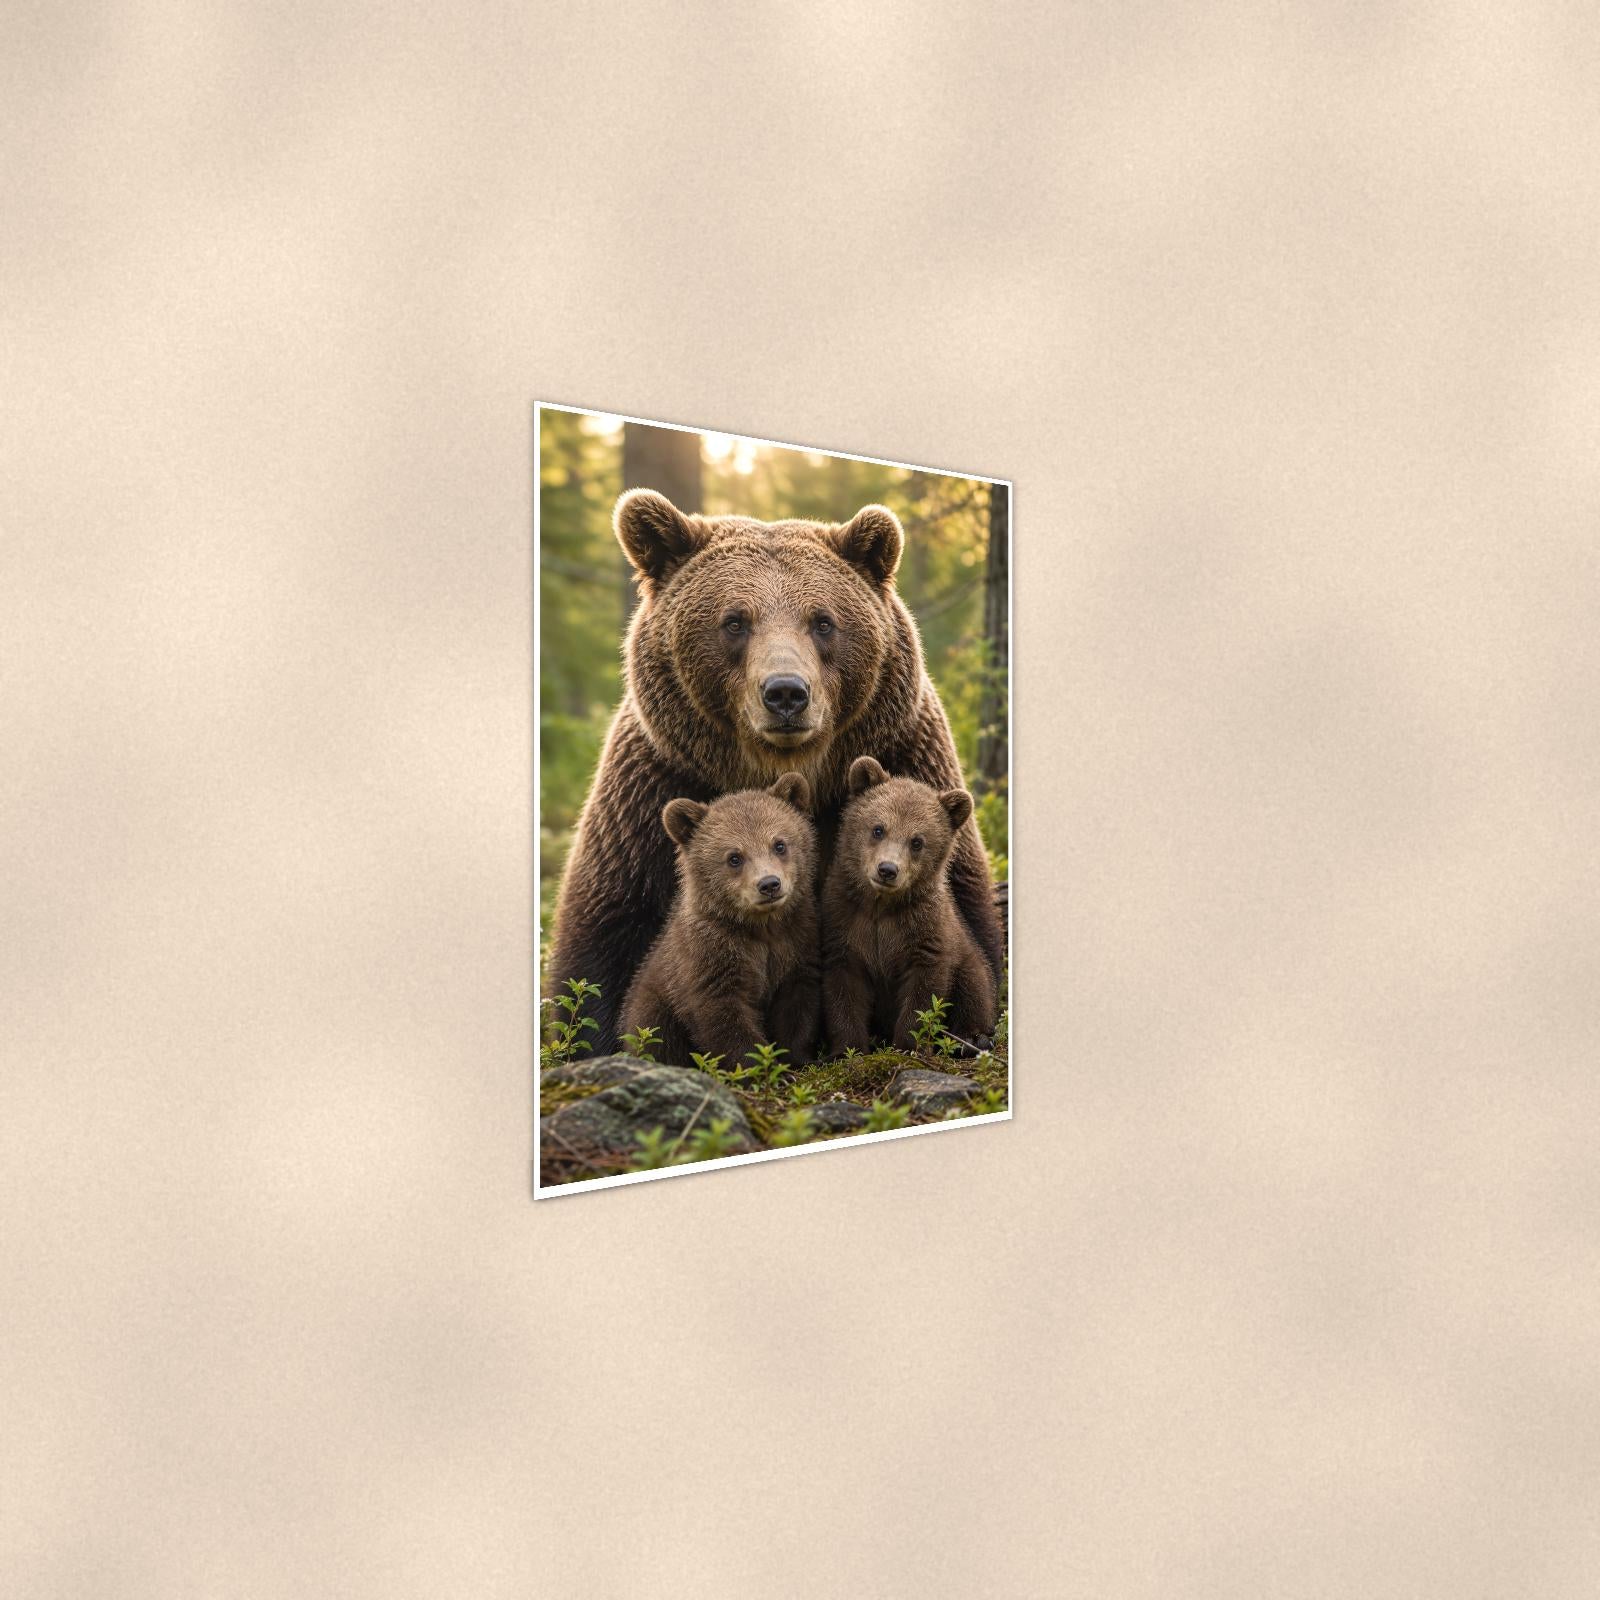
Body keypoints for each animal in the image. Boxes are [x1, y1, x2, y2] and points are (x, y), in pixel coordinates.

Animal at [619, 774, 819, 1069]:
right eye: (734, 857)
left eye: (779, 844)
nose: (769, 884)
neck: (761, 928)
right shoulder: (710, 955)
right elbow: (722, 1016)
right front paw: (762, 1066)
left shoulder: (796, 943)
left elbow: (797, 1007)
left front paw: (797, 1060)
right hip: (652, 1006)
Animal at [822, 757, 997, 1053]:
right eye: (878, 829)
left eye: (917, 841)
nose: (887, 869)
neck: (881, 907)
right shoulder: (844, 922)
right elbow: (843, 989)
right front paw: (848, 1048)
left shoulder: (925, 930)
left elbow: (924, 992)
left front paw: (909, 1044)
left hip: (967, 955)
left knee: (974, 985)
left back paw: (972, 1037)